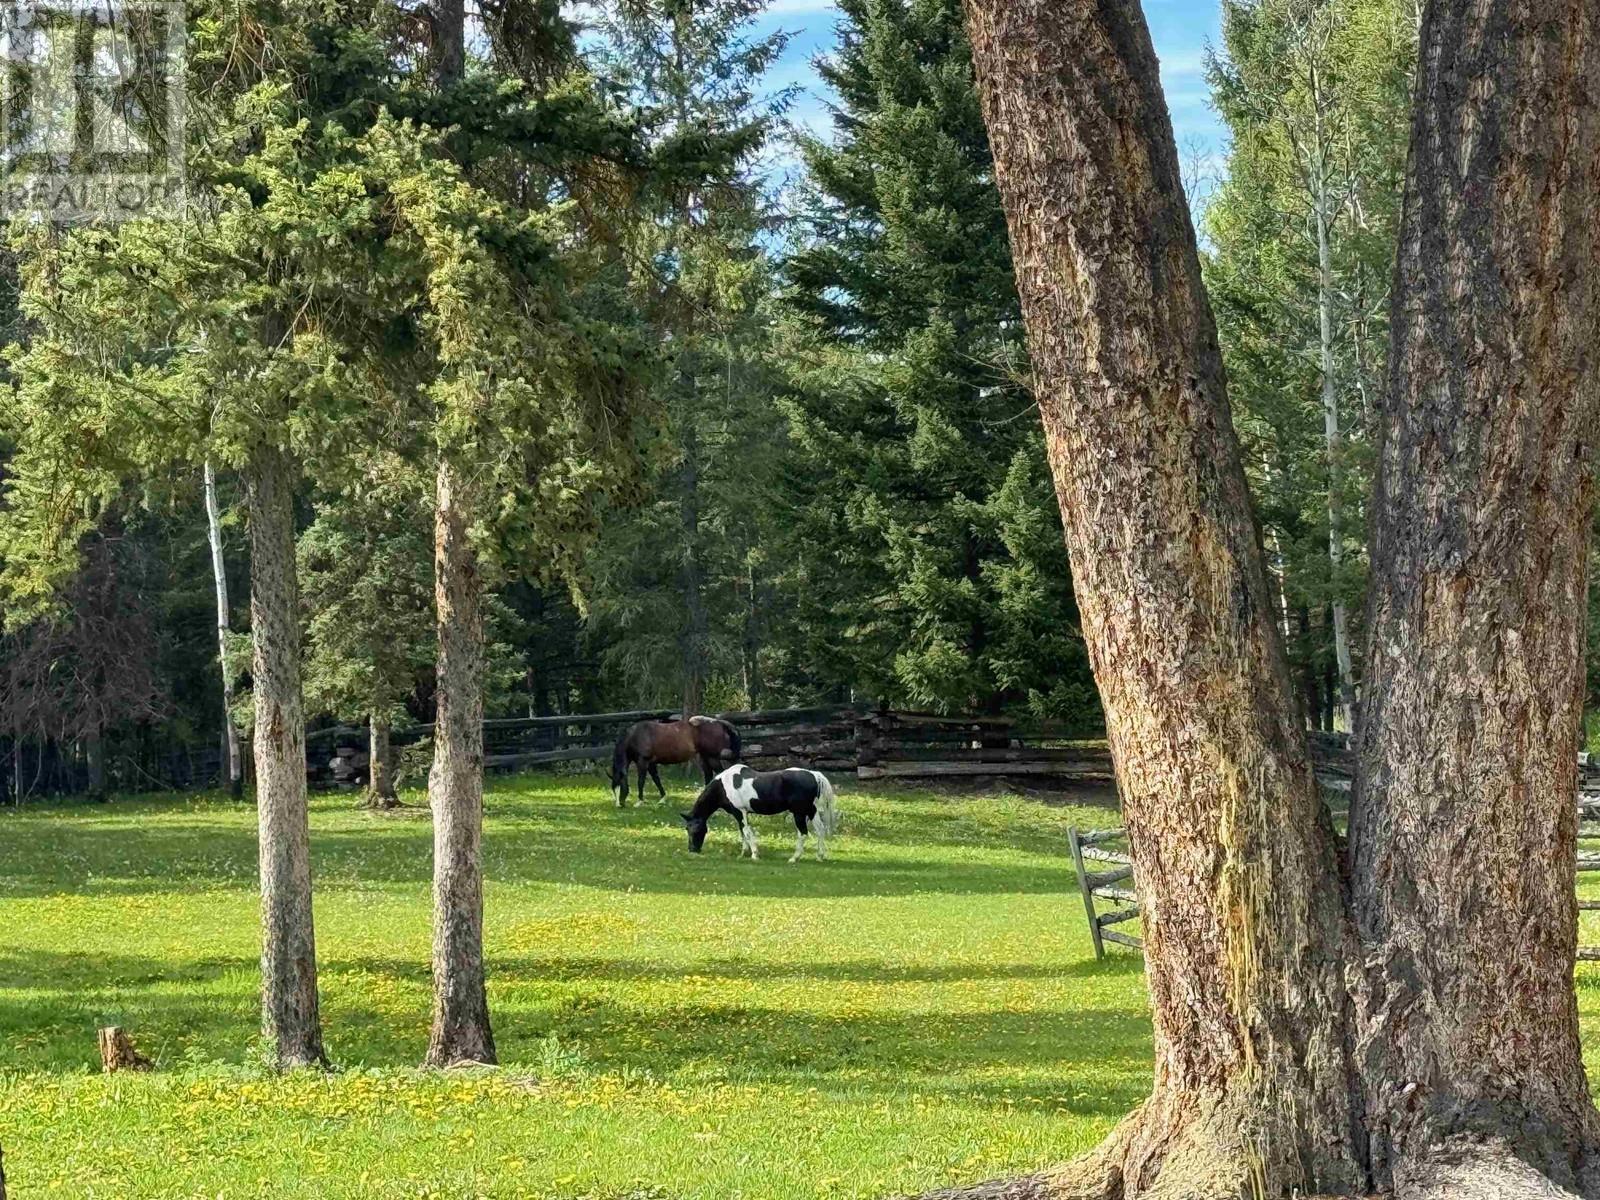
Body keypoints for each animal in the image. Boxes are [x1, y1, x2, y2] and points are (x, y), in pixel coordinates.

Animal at [611, 713, 742, 809]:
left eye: (620, 785)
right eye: (613, 788)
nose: (619, 805)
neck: (636, 736)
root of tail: (719, 722)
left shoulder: (643, 762)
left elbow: (641, 781)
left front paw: (639, 802)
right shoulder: (651, 764)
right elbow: (656, 779)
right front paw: (662, 799)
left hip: (712, 758)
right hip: (704, 757)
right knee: (709, 775)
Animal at [681, 771, 844, 864]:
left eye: (695, 829)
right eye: (687, 829)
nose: (692, 849)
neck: (724, 785)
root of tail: (815, 775)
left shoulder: (740, 812)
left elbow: (747, 832)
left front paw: (754, 854)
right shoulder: (740, 814)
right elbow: (742, 833)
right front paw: (743, 853)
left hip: (799, 813)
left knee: (803, 833)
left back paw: (794, 858)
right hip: (811, 811)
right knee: (820, 830)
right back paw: (820, 856)